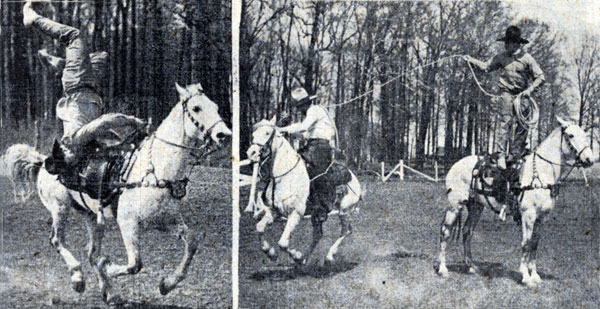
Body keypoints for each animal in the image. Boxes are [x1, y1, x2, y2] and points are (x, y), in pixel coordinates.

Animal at [1, 82, 231, 304]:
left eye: (216, 107)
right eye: (196, 108)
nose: (224, 135)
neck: (154, 170)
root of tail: (44, 162)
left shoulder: (165, 220)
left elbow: (191, 243)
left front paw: (167, 283)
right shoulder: (127, 221)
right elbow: (134, 264)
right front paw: (109, 266)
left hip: (91, 216)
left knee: (91, 253)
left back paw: (110, 293)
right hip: (60, 208)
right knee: (57, 240)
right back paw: (78, 278)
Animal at [244, 116, 360, 266]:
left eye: (267, 133)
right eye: (253, 134)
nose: (251, 153)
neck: (284, 177)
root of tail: (353, 178)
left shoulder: (296, 213)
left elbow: (283, 243)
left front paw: (296, 256)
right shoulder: (273, 211)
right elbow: (259, 228)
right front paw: (271, 253)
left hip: (345, 211)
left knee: (345, 231)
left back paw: (328, 256)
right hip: (317, 215)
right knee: (318, 235)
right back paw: (305, 259)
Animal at [438, 116, 592, 286]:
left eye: (585, 134)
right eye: (571, 135)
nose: (590, 159)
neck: (540, 173)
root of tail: (456, 165)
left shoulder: (541, 218)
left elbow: (535, 244)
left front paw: (535, 275)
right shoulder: (528, 216)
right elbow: (526, 243)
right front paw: (526, 276)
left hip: (476, 207)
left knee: (467, 232)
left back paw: (471, 266)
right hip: (455, 205)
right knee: (445, 232)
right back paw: (443, 269)